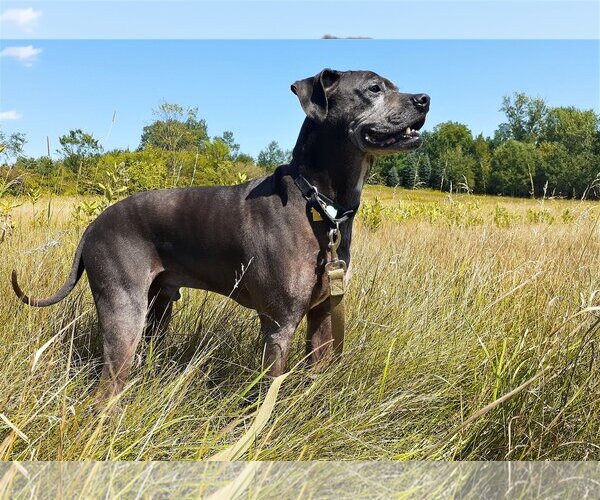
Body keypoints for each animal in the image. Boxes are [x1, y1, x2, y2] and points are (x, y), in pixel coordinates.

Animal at [11, 68, 428, 400]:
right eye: (374, 88)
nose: (425, 98)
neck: (318, 204)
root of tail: (93, 227)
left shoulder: (323, 314)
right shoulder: (279, 325)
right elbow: (268, 393)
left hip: (157, 308)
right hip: (123, 310)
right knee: (106, 385)